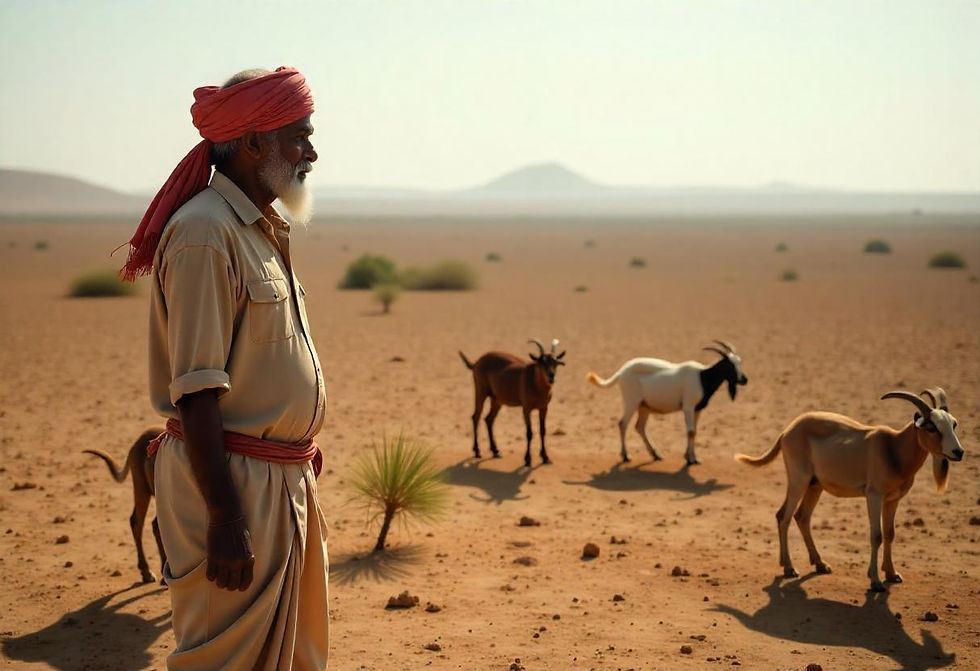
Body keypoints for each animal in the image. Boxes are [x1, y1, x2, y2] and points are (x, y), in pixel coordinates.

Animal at [459, 338, 566, 467]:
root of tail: (477, 362)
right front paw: (528, 459)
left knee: (488, 419)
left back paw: (496, 451)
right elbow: (529, 433)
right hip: (481, 392)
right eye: (542, 362)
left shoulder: (544, 408)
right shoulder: (526, 408)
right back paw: (477, 451)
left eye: (555, 362)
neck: (535, 382)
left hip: (496, 400)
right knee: (476, 416)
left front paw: (545, 458)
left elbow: (542, 431)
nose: (551, 377)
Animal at [586, 340, 748, 465]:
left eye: (739, 361)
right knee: (622, 424)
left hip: (644, 407)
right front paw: (690, 459)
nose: (744, 380)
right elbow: (690, 431)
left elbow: (694, 431)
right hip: (631, 402)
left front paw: (693, 458)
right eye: (729, 364)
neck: (702, 376)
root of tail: (621, 372)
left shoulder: (697, 410)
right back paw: (626, 456)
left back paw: (656, 455)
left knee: (639, 427)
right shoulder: (688, 407)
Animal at [735, 387, 965, 592]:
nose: (958, 452)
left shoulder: (892, 500)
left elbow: (890, 533)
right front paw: (876, 581)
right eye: (932, 427)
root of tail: (788, 430)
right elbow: (876, 536)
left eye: (953, 424)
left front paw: (892, 574)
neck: (893, 448)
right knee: (783, 515)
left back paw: (820, 564)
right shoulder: (874, 496)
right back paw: (789, 568)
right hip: (799, 481)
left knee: (802, 517)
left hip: (815, 485)